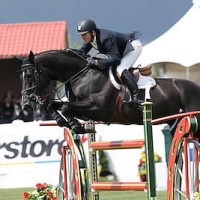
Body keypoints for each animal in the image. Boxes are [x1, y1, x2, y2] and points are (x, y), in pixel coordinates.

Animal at [19, 49, 200, 136]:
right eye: (21, 76)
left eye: (29, 75)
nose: (26, 105)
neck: (82, 74)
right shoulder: (85, 110)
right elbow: (54, 105)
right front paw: (65, 122)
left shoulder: (99, 108)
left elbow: (65, 107)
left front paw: (75, 126)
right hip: (175, 123)